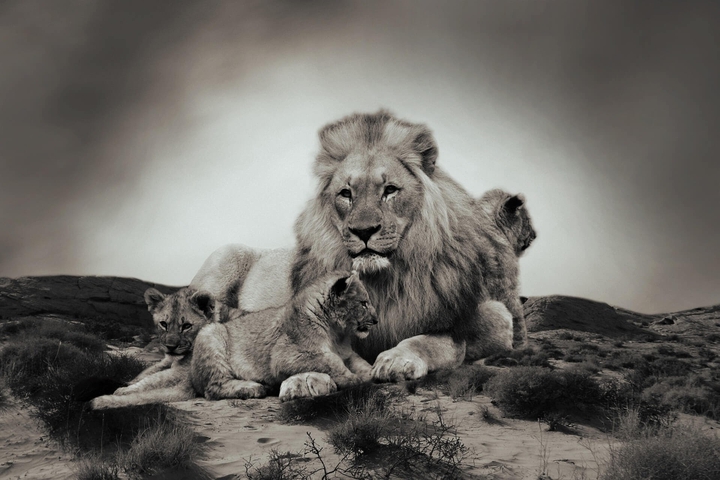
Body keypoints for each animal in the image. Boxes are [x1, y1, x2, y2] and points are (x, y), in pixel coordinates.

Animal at [190, 271, 378, 402]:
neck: (336, 334)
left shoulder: (347, 354)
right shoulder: (284, 356)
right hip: (210, 332)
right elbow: (330, 360)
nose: (376, 320)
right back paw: (253, 388)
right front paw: (351, 378)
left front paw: (373, 372)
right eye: (364, 303)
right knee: (213, 388)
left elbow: (360, 362)